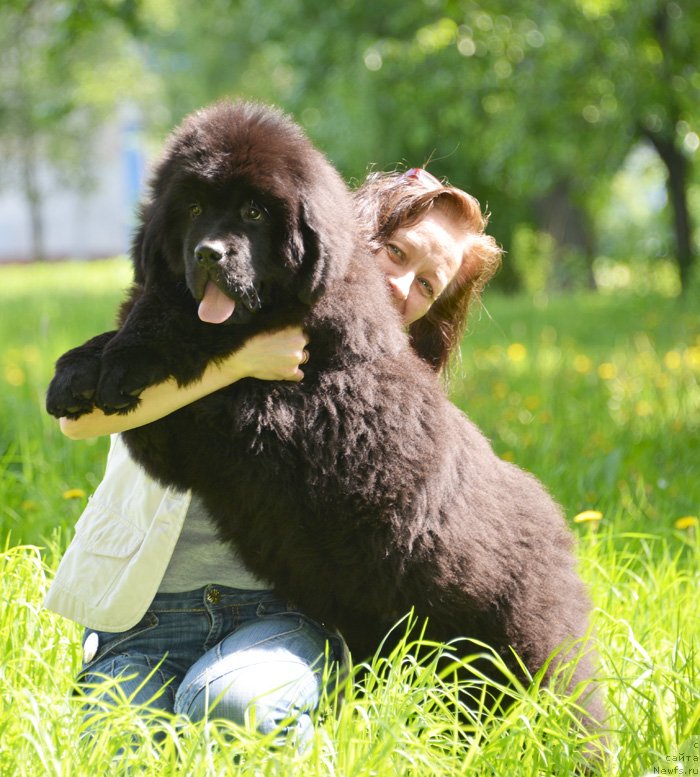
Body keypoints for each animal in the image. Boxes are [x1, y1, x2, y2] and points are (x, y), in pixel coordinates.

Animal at [46, 100, 600, 724]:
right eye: (192, 209)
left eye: (254, 212)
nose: (208, 253)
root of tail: (562, 537)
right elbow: (151, 314)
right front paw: (74, 372)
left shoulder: (255, 420)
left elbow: (179, 332)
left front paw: (121, 361)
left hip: (526, 656)